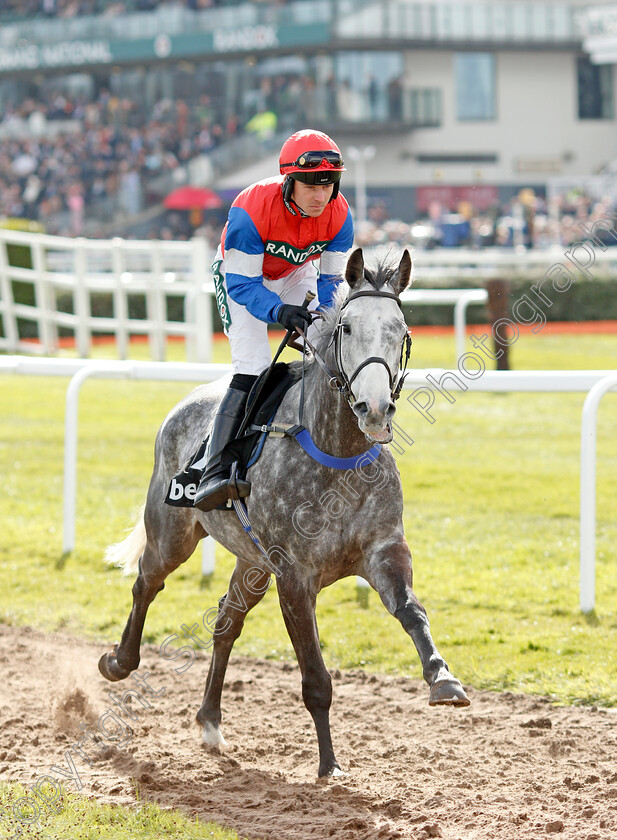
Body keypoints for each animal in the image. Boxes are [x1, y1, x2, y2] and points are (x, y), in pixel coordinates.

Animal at [100, 246, 466, 776]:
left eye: (401, 331)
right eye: (347, 328)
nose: (375, 409)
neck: (337, 454)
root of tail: (184, 403)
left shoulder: (384, 550)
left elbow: (413, 612)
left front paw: (444, 679)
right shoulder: (294, 575)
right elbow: (315, 676)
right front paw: (329, 763)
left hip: (252, 562)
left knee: (226, 620)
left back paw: (209, 720)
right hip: (174, 531)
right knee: (147, 582)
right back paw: (119, 662)